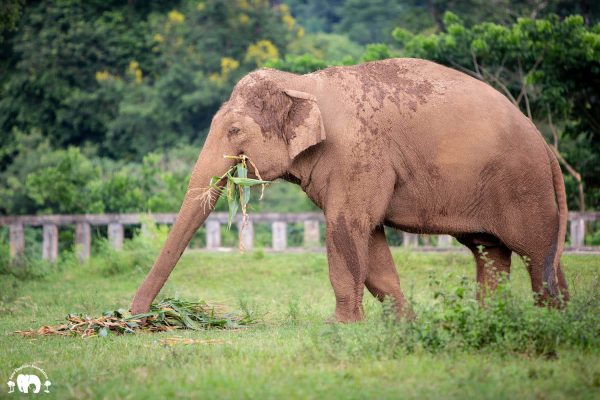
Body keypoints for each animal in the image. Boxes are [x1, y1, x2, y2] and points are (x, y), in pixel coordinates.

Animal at [130, 57, 568, 324]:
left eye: (235, 130)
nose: (134, 317)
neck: (301, 83)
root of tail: (547, 149)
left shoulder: (358, 154)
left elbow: (346, 226)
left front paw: (338, 324)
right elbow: (369, 242)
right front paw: (402, 323)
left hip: (523, 187)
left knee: (534, 252)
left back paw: (551, 321)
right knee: (491, 253)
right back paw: (498, 319)